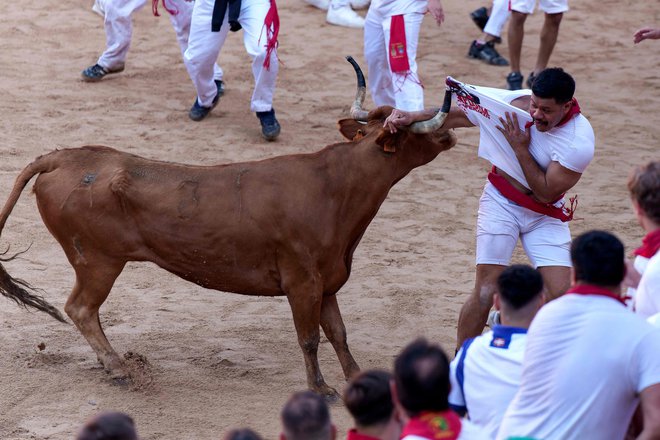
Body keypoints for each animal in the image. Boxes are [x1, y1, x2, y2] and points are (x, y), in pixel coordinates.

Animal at [0, 56, 456, 398]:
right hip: (98, 261)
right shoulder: (302, 281)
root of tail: (63, 156)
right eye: (414, 131)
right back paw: (119, 369)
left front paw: (357, 378)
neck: (337, 185)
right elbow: (309, 337)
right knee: (81, 308)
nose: (449, 134)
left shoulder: (327, 281)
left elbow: (338, 333)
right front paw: (321, 388)